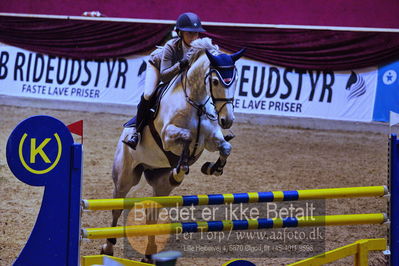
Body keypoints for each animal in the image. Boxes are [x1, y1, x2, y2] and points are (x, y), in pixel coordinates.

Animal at [101, 38, 244, 260]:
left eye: (235, 80)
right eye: (215, 81)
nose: (227, 120)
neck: (196, 104)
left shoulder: (211, 139)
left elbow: (225, 147)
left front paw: (213, 168)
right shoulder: (168, 136)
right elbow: (186, 138)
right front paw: (181, 168)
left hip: (161, 184)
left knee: (152, 215)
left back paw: (149, 254)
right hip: (125, 176)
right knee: (117, 206)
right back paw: (108, 247)